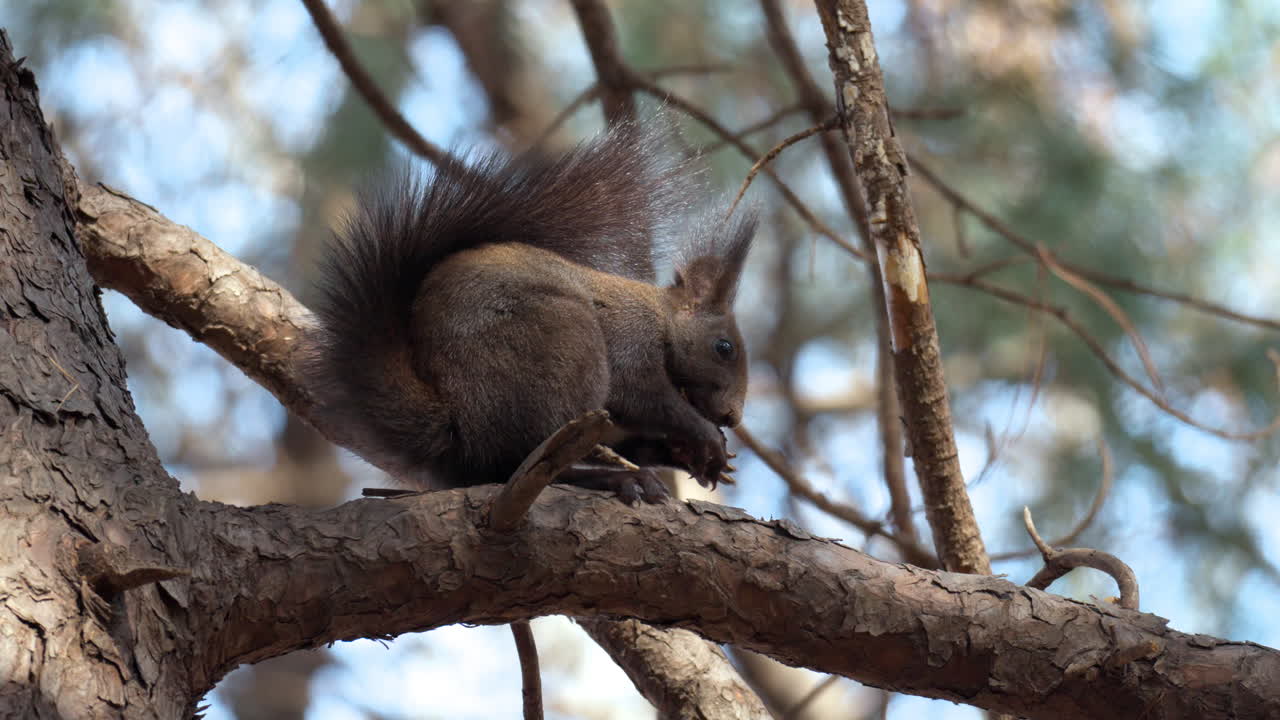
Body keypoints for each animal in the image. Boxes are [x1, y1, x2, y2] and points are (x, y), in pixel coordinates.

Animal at [304, 122, 756, 504]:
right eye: (724, 347)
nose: (732, 417)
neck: (660, 317)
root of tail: (458, 428)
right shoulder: (629, 336)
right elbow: (642, 394)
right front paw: (704, 436)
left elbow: (640, 435)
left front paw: (696, 456)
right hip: (565, 346)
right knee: (522, 466)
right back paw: (615, 479)